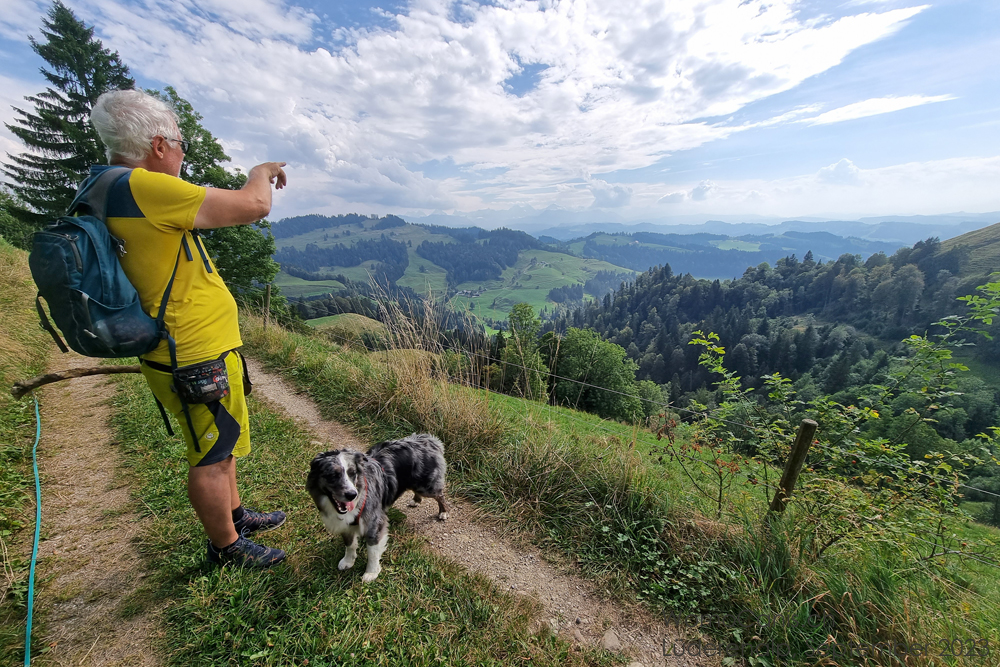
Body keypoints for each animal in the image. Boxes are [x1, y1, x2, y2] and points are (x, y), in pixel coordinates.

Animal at [302, 436, 448, 580]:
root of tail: (429, 439)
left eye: (352, 473)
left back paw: (443, 512)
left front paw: (371, 573)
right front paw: (348, 561)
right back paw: (416, 501)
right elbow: (349, 544)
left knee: (440, 495)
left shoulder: (374, 523)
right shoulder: (346, 525)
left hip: (426, 487)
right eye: (332, 475)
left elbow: (372, 551)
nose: (352, 494)